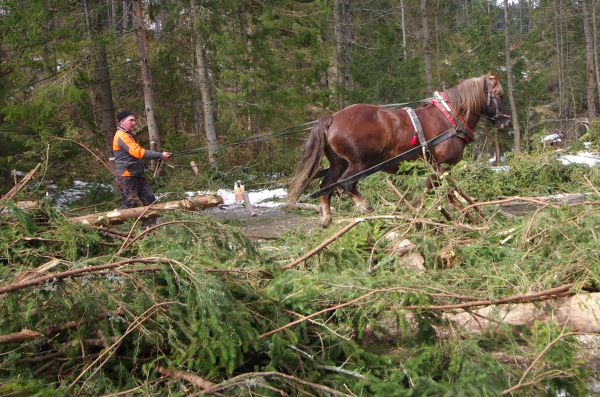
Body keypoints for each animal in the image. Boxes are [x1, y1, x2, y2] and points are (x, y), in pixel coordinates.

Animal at [288, 74, 510, 227]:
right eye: (499, 95)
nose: (506, 120)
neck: (449, 117)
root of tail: (332, 118)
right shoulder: (440, 166)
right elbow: (439, 192)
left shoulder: (435, 167)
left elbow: (441, 192)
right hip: (360, 164)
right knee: (346, 184)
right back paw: (368, 210)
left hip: (338, 163)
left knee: (326, 185)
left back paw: (327, 218)